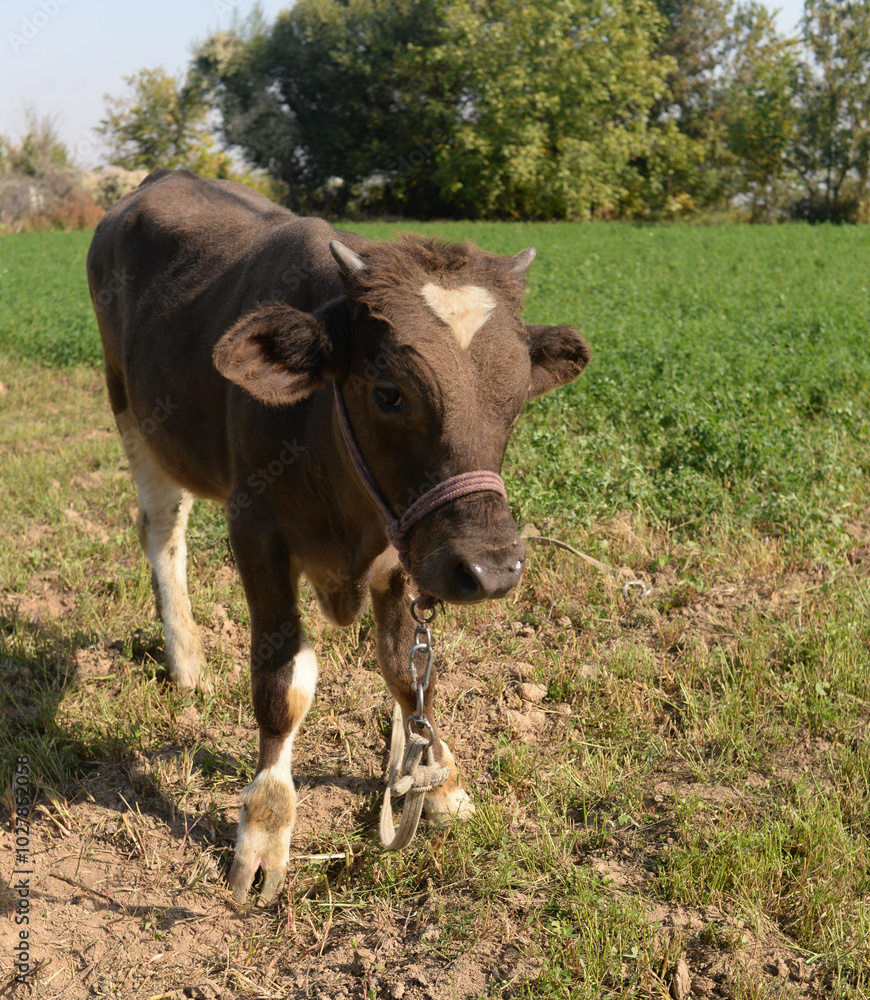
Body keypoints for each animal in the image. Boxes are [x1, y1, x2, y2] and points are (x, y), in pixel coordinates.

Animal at [86, 168, 590, 905]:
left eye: (518, 398)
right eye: (389, 393)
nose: (492, 570)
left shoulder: (410, 549)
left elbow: (409, 675)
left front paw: (441, 780)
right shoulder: (255, 528)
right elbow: (282, 682)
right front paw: (265, 829)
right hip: (132, 411)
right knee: (162, 533)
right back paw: (186, 658)